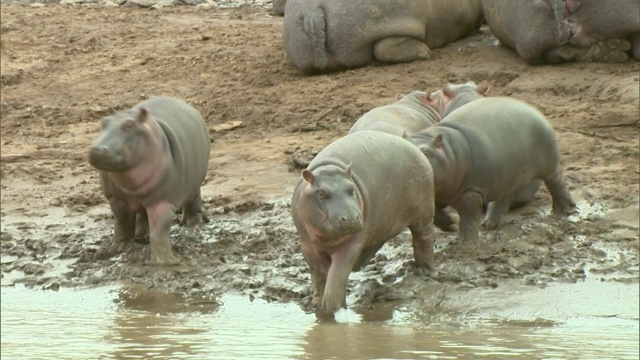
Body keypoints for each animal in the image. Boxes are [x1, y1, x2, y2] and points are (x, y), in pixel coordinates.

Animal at [88, 95, 210, 264]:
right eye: (103, 122)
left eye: (129, 125)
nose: (97, 149)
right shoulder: (117, 199)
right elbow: (122, 224)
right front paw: (116, 250)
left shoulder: (163, 200)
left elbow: (159, 230)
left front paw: (167, 261)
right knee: (142, 215)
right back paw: (141, 236)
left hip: (194, 183)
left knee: (194, 199)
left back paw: (192, 224)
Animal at [292, 129, 438, 316]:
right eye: (321, 193)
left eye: (351, 188)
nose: (351, 218)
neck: (329, 170)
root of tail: (416, 149)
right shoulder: (307, 246)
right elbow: (318, 275)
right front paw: (318, 305)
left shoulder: (352, 243)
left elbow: (337, 273)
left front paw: (333, 308)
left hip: (423, 213)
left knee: (423, 239)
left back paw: (427, 272)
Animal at [408, 96, 576, 242]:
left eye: (425, 152)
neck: (448, 151)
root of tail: (534, 110)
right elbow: (436, 215)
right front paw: (451, 225)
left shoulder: (471, 192)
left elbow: (468, 220)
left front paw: (466, 245)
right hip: (507, 176)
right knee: (503, 199)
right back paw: (490, 224)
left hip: (549, 165)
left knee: (557, 183)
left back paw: (564, 210)